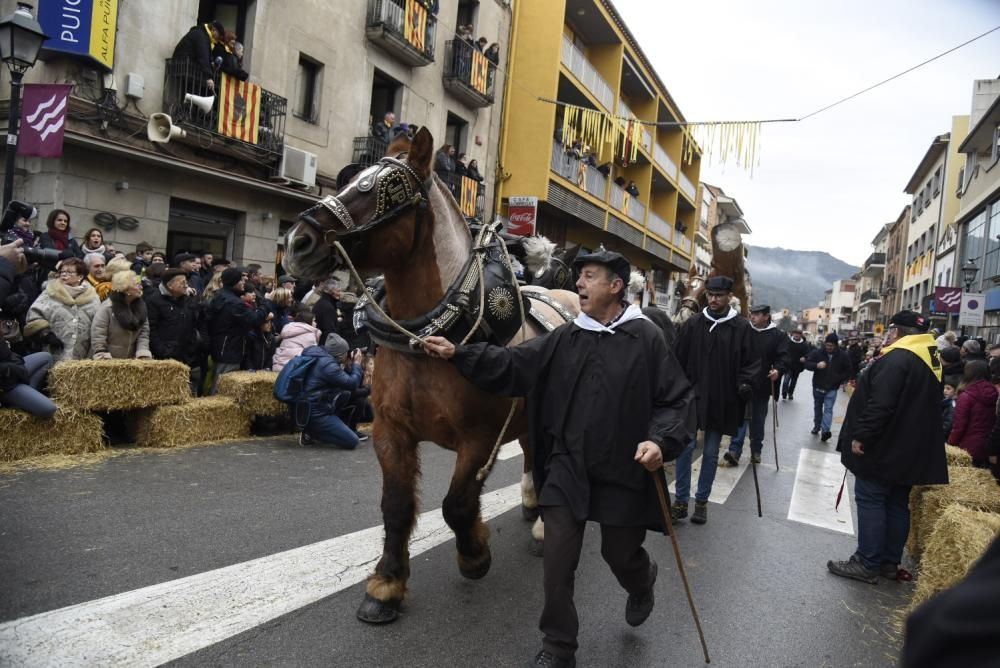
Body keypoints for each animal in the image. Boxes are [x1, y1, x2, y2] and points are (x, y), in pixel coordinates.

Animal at [282, 128, 580, 624]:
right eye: (349, 179)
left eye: (377, 190)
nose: (296, 242)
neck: (430, 337)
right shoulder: (390, 429)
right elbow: (396, 507)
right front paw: (386, 585)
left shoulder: (480, 436)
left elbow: (456, 505)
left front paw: (475, 555)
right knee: (533, 458)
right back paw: (530, 502)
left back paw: (542, 526)